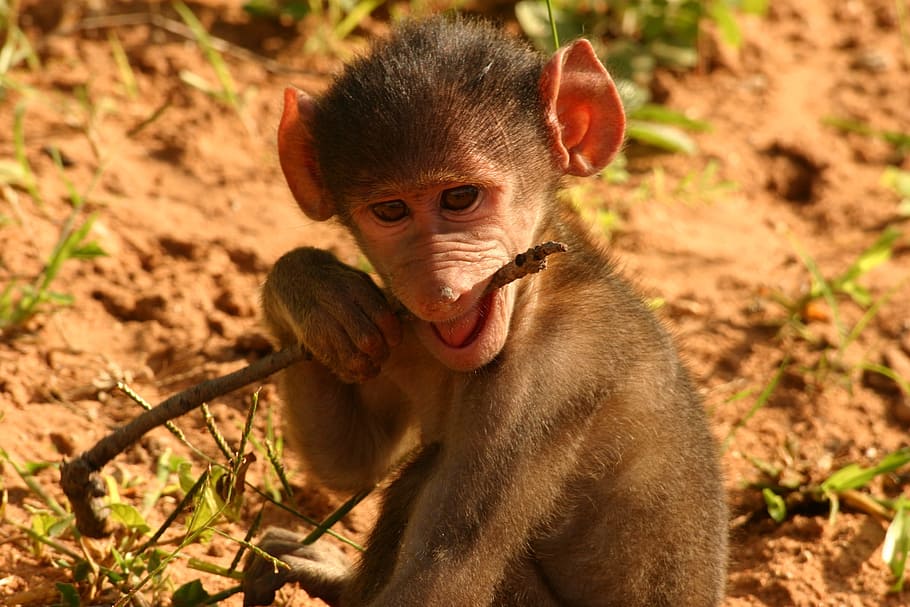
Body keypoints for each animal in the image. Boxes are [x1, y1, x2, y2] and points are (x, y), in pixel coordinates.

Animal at [243, 16, 727, 607]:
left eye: (460, 198)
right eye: (390, 210)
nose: (441, 292)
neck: (534, 296)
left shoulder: (546, 382)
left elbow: (448, 572)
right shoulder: (399, 326)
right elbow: (353, 459)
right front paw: (314, 291)